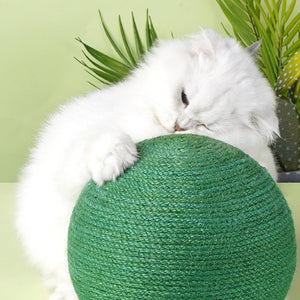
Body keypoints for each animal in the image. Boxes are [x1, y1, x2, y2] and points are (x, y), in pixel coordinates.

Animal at [15, 28, 278, 300]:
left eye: (205, 126)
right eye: (184, 98)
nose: (178, 126)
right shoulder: (72, 162)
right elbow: (104, 142)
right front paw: (115, 163)